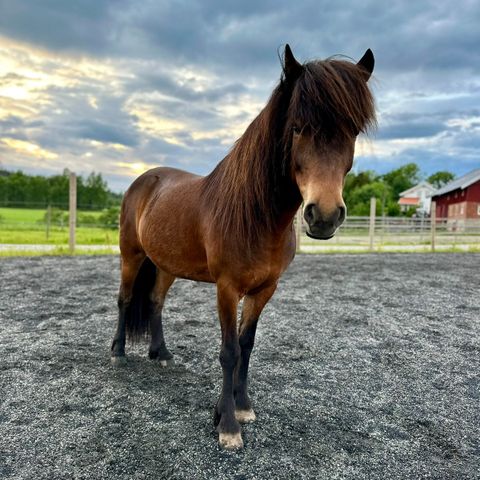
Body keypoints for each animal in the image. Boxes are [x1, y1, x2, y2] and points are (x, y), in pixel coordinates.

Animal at [110, 45, 376, 450]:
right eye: (297, 127)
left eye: (353, 131)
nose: (325, 215)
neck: (257, 217)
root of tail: (144, 180)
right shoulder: (227, 288)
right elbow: (229, 351)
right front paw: (228, 424)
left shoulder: (264, 289)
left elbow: (247, 345)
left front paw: (243, 406)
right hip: (132, 255)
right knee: (125, 299)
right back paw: (120, 353)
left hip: (167, 265)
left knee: (154, 302)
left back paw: (162, 354)